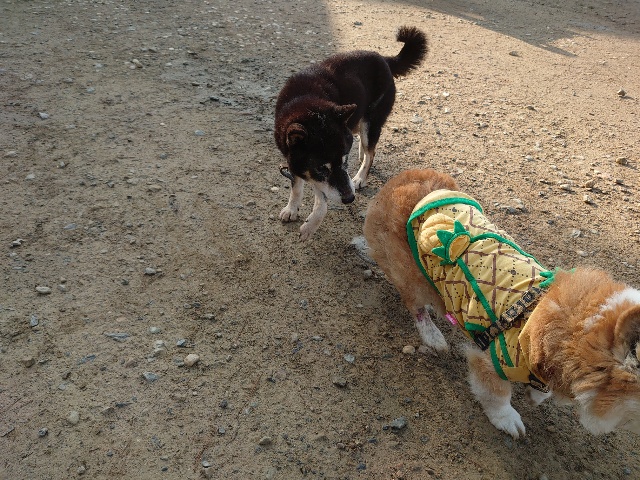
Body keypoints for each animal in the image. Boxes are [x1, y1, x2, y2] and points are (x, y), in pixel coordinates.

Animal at [274, 26, 428, 241]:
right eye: (322, 168)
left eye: (344, 160)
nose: (350, 198)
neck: (306, 102)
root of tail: (384, 59)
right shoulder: (295, 160)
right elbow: (297, 187)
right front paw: (292, 209)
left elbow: (322, 202)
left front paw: (309, 226)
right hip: (356, 119)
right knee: (363, 143)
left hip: (371, 122)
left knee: (371, 152)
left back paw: (361, 176)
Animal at [364, 168, 640, 438]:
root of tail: (398, 181)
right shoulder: (491, 360)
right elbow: (496, 394)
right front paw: (509, 421)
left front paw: (536, 395)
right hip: (411, 277)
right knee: (416, 306)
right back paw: (433, 336)